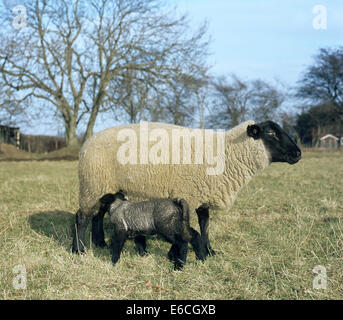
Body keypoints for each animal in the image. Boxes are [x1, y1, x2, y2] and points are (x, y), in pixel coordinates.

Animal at [72, 120, 300, 258]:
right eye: (271, 133)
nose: (298, 154)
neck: (227, 152)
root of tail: (88, 141)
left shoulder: (203, 195)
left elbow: (205, 225)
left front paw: (210, 251)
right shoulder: (188, 194)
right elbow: (191, 228)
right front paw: (191, 253)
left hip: (106, 187)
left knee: (99, 214)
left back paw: (100, 243)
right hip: (92, 184)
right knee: (82, 217)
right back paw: (79, 249)